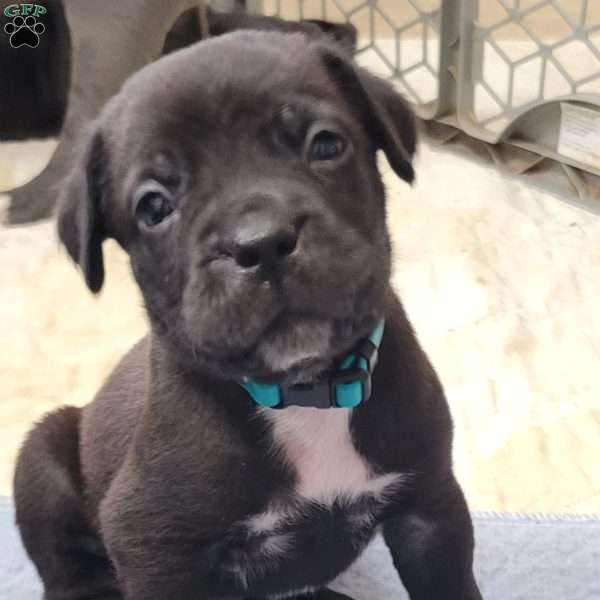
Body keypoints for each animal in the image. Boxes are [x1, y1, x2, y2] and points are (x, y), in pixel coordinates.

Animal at [14, 32, 482, 600]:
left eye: (326, 145)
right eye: (153, 207)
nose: (260, 242)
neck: (306, 392)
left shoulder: (430, 506)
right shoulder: (154, 548)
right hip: (42, 458)